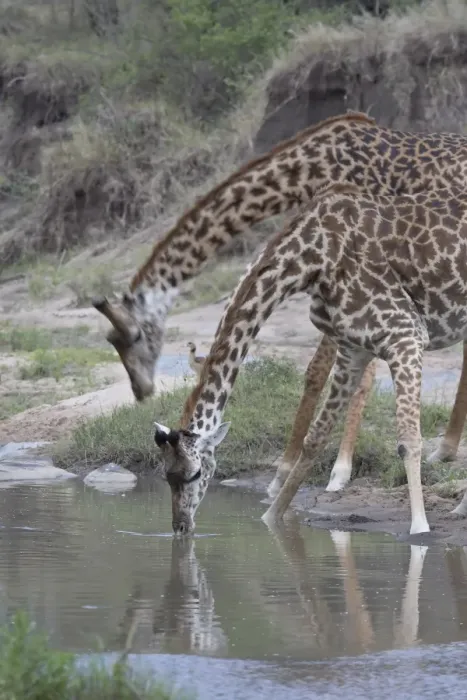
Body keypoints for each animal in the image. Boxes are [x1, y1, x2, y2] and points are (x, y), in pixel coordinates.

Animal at [94, 111, 467, 486]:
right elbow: (320, 370)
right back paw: (445, 449)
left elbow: (334, 374)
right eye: (112, 341)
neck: (308, 169)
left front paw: (336, 470)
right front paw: (289, 469)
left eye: (130, 339)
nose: (140, 390)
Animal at [152, 183, 467, 536]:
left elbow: (408, 440)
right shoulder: (353, 350)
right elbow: (314, 438)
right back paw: (460, 508)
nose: (180, 526)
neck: (312, 259)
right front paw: (271, 519)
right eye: (166, 475)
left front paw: (420, 528)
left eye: (194, 473)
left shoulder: (405, 337)